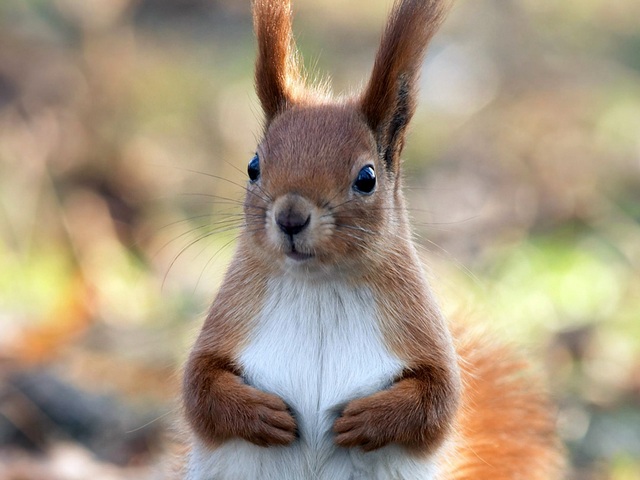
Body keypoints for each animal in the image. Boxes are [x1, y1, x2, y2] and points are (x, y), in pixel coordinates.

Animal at [180, 1, 564, 478]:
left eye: (366, 178)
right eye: (253, 166)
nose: (290, 217)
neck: (319, 287)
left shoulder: (418, 325)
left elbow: (440, 399)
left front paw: (366, 420)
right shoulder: (230, 317)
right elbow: (199, 387)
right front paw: (262, 414)